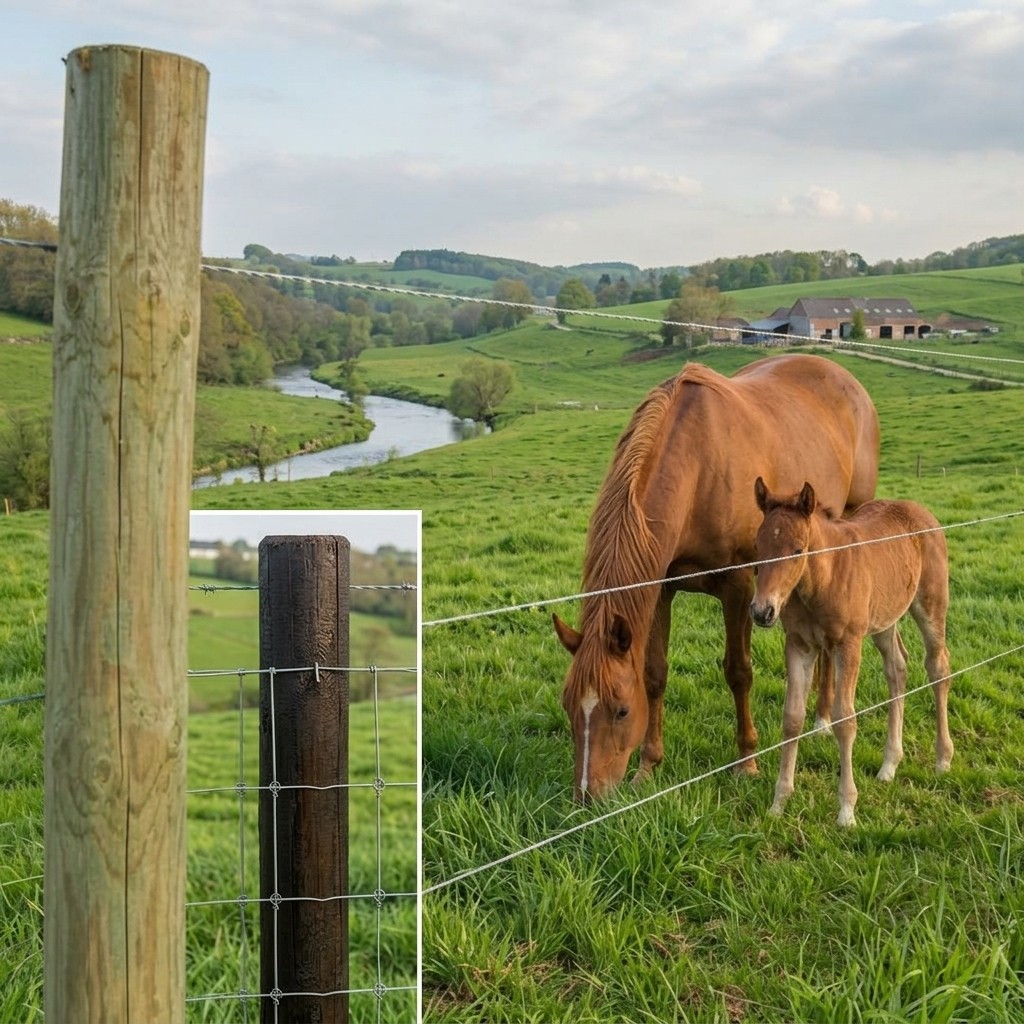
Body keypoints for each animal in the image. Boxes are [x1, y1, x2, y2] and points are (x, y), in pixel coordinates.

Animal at [552, 353, 880, 802]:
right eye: (568, 705)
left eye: (620, 710)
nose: (588, 796)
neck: (696, 466)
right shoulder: (661, 590)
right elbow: (654, 674)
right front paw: (648, 766)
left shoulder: (739, 588)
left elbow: (738, 672)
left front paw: (747, 762)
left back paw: (822, 718)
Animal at [750, 477, 953, 826]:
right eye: (758, 548)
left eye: (797, 550)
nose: (763, 612)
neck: (823, 578)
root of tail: (921, 511)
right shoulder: (799, 645)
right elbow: (792, 718)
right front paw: (779, 802)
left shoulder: (848, 644)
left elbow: (845, 720)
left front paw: (846, 811)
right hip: (885, 618)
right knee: (897, 668)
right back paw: (889, 765)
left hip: (930, 605)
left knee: (938, 668)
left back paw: (942, 759)